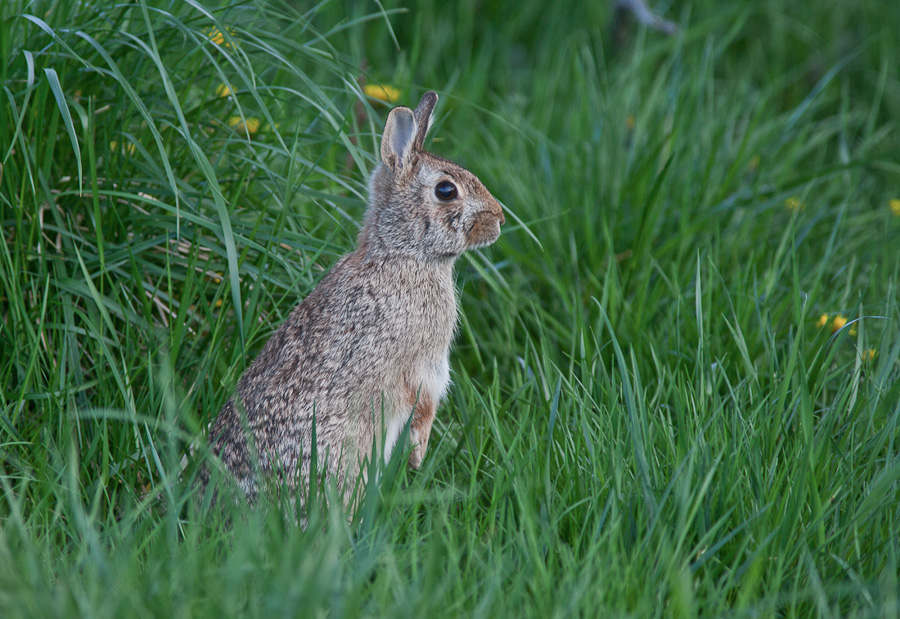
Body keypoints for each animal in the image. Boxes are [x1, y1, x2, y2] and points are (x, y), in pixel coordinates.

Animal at [200, 91, 502, 508]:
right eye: (446, 190)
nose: (499, 219)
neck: (402, 254)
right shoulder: (422, 366)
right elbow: (423, 407)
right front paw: (418, 456)